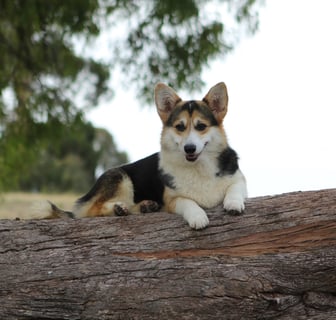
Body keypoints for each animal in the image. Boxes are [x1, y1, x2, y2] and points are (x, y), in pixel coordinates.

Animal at [47, 81, 247, 229]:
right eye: (180, 127)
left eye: (201, 126)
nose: (189, 148)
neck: (198, 167)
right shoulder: (172, 200)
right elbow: (187, 201)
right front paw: (198, 216)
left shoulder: (239, 180)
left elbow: (234, 188)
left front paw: (233, 204)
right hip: (121, 177)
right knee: (90, 211)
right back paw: (119, 208)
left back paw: (144, 206)